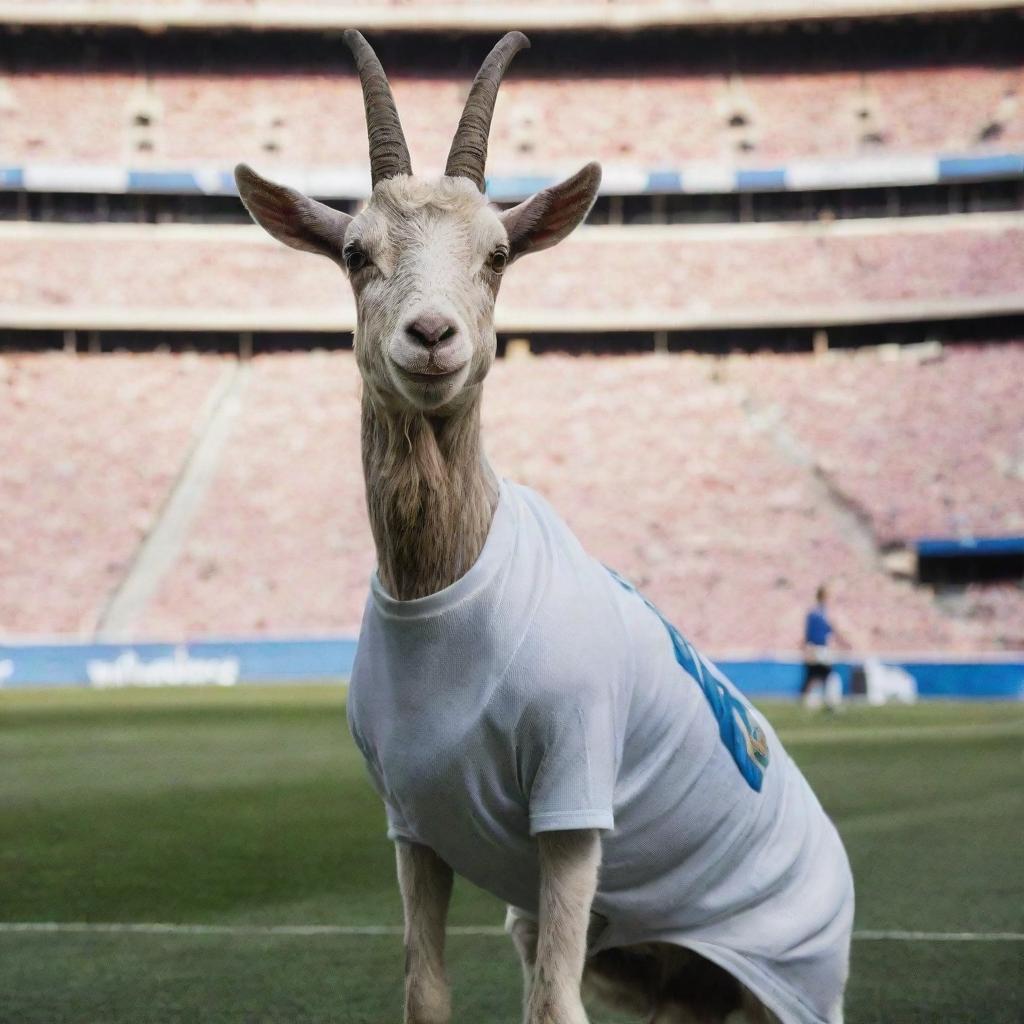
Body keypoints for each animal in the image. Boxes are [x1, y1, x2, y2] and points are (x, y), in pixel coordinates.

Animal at [235, 32, 851, 1024]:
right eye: (355, 252)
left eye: (498, 254)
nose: (432, 335)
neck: (442, 586)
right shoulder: (414, 821)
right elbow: (426, 990)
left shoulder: (573, 792)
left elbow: (552, 1004)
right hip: (645, 962)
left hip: (777, 976)